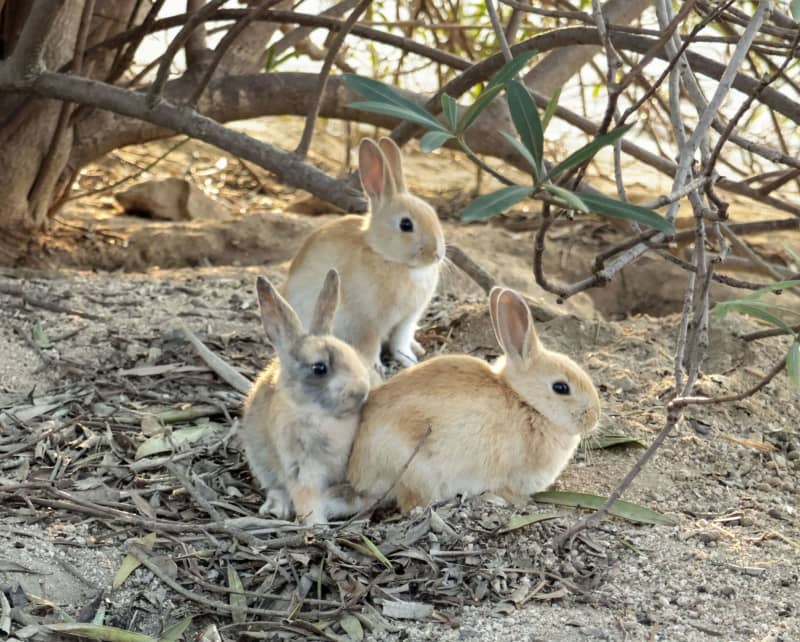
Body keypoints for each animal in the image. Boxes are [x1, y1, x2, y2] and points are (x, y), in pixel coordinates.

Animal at [241, 268, 372, 524]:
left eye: (354, 355)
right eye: (319, 368)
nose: (362, 391)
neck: (318, 413)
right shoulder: (301, 469)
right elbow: (307, 498)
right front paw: (317, 525)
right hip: (260, 464)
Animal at [282, 136, 444, 376]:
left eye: (433, 214)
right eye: (406, 225)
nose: (437, 254)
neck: (387, 257)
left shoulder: (407, 320)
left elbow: (400, 342)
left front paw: (409, 361)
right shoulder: (368, 324)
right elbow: (371, 347)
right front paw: (377, 367)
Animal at [344, 284, 600, 510]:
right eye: (561, 387)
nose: (594, 418)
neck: (526, 403)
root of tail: (356, 473)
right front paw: (516, 501)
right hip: (416, 471)